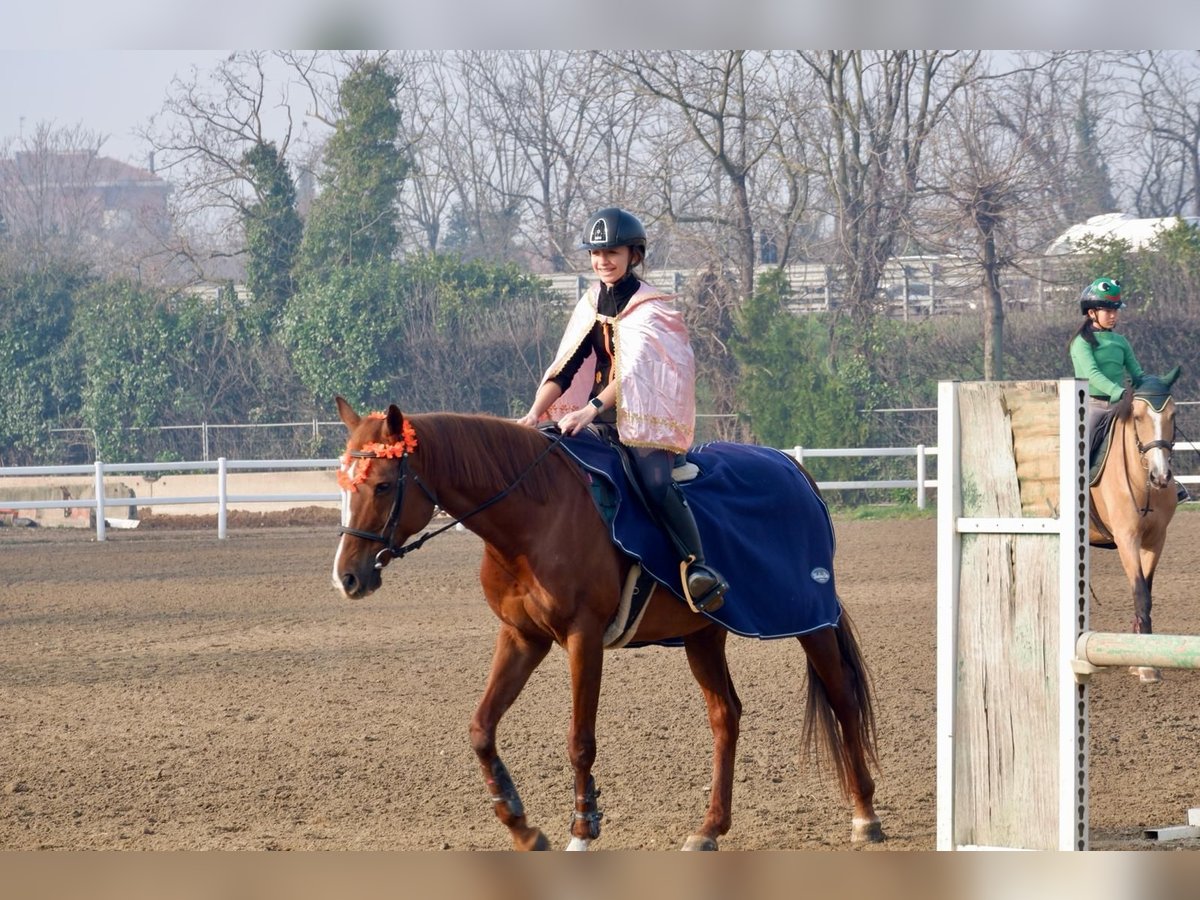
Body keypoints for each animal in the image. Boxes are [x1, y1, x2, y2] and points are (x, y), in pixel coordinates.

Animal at [328, 400, 883, 854]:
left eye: (383, 484)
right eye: (345, 486)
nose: (348, 576)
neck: (535, 515)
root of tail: (792, 467)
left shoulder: (583, 637)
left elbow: (580, 739)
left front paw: (582, 828)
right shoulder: (522, 638)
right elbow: (481, 729)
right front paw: (522, 826)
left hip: (811, 622)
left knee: (842, 698)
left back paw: (865, 815)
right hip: (705, 635)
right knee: (726, 716)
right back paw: (709, 828)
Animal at [1089, 369, 1180, 686]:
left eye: (1173, 415)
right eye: (1138, 417)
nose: (1161, 476)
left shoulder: (1155, 540)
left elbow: (1147, 592)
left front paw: (1139, 657)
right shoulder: (1127, 539)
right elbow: (1140, 592)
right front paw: (1145, 667)